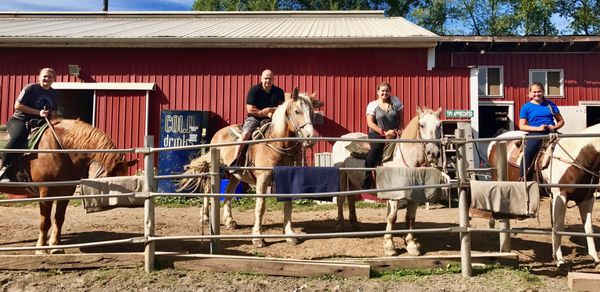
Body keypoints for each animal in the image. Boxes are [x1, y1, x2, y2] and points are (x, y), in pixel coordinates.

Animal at [0, 118, 137, 253]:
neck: (60, 149)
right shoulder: (45, 191)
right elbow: (45, 221)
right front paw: (41, 249)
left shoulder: (66, 191)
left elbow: (59, 218)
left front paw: (56, 246)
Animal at [177, 88, 322, 246]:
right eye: (297, 111)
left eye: (312, 112)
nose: (311, 137)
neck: (277, 144)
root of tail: (219, 133)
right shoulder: (263, 179)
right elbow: (260, 206)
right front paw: (258, 237)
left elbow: (288, 206)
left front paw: (290, 234)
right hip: (215, 171)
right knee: (208, 189)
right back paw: (205, 217)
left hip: (235, 175)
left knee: (228, 193)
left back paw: (229, 221)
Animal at [330, 106, 442, 256]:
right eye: (421, 125)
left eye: (439, 125)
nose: (433, 153)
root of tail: (341, 138)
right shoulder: (393, 195)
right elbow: (392, 217)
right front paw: (389, 246)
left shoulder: (414, 194)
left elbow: (410, 217)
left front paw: (411, 244)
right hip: (341, 175)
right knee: (341, 200)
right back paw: (340, 225)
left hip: (353, 179)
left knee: (352, 199)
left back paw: (354, 223)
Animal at [488, 124, 600, 268]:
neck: (577, 159)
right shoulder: (560, 196)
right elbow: (558, 227)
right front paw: (560, 260)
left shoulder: (587, 199)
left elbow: (588, 228)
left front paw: (595, 258)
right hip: (496, 178)